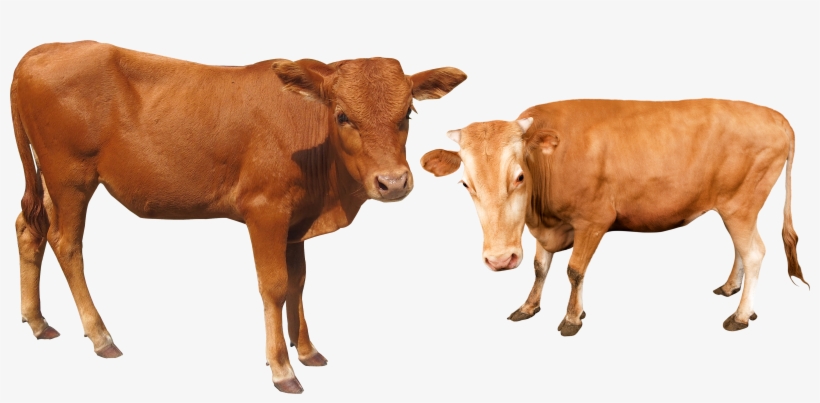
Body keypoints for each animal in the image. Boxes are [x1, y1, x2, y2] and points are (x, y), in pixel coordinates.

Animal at [11, 41, 466, 393]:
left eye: (407, 114)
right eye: (342, 116)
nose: (393, 182)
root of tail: (42, 50)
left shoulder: (296, 220)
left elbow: (299, 282)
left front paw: (307, 350)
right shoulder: (265, 210)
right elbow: (275, 286)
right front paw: (282, 368)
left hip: (50, 181)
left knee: (29, 229)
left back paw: (37, 321)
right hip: (71, 177)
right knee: (67, 243)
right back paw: (101, 335)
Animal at [420, 99, 807, 337]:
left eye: (518, 177)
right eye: (465, 183)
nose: (500, 259)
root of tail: (778, 117)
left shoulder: (594, 219)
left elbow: (574, 270)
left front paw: (572, 317)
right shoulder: (549, 229)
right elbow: (540, 267)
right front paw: (528, 306)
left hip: (741, 204)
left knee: (754, 252)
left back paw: (740, 315)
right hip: (734, 206)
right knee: (742, 249)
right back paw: (731, 289)